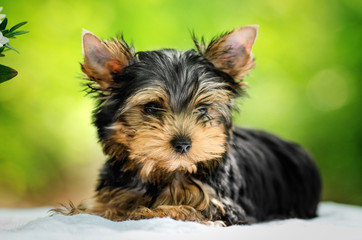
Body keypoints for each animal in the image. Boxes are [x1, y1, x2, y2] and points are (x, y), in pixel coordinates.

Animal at [53, 25, 320, 226]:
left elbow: (180, 209)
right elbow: (102, 204)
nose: (182, 144)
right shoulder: (118, 188)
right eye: (151, 108)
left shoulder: (224, 206)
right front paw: (86, 210)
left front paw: (144, 211)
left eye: (202, 109)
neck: (167, 172)